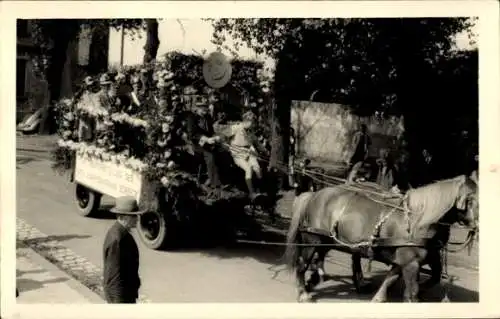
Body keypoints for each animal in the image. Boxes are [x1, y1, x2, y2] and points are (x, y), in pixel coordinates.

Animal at [286, 174, 476, 304]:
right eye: (473, 199)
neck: (419, 220)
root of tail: (314, 195)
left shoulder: (415, 257)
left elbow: (406, 277)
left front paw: (380, 297)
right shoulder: (411, 262)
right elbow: (412, 290)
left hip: (329, 240)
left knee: (324, 257)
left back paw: (316, 280)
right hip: (313, 239)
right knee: (303, 263)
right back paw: (304, 292)